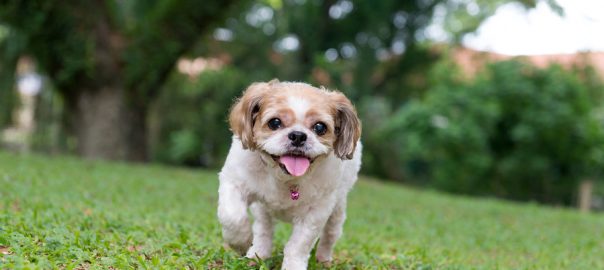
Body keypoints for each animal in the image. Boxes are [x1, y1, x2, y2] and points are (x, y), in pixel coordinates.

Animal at [218, 79, 364, 268]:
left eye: (320, 127)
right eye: (274, 123)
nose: (298, 135)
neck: (285, 178)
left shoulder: (316, 211)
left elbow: (298, 245)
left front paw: (293, 265)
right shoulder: (234, 182)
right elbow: (232, 217)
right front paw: (241, 242)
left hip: (337, 210)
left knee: (330, 235)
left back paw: (323, 258)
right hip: (263, 209)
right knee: (264, 228)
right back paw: (258, 253)